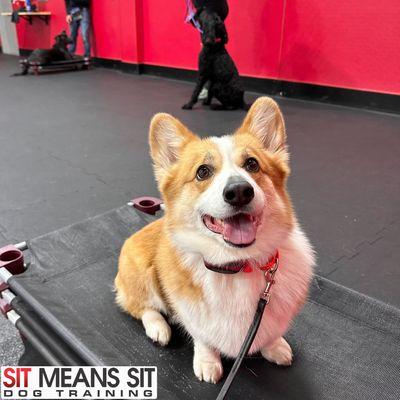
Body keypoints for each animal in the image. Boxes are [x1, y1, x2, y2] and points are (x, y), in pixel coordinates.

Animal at [115, 97, 316, 384]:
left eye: (252, 164)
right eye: (203, 172)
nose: (239, 191)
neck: (237, 265)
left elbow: (270, 332)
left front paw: (275, 346)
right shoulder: (195, 318)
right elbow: (203, 338)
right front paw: (208, 363)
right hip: (141, 274)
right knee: (141, 307)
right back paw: (158, 328)